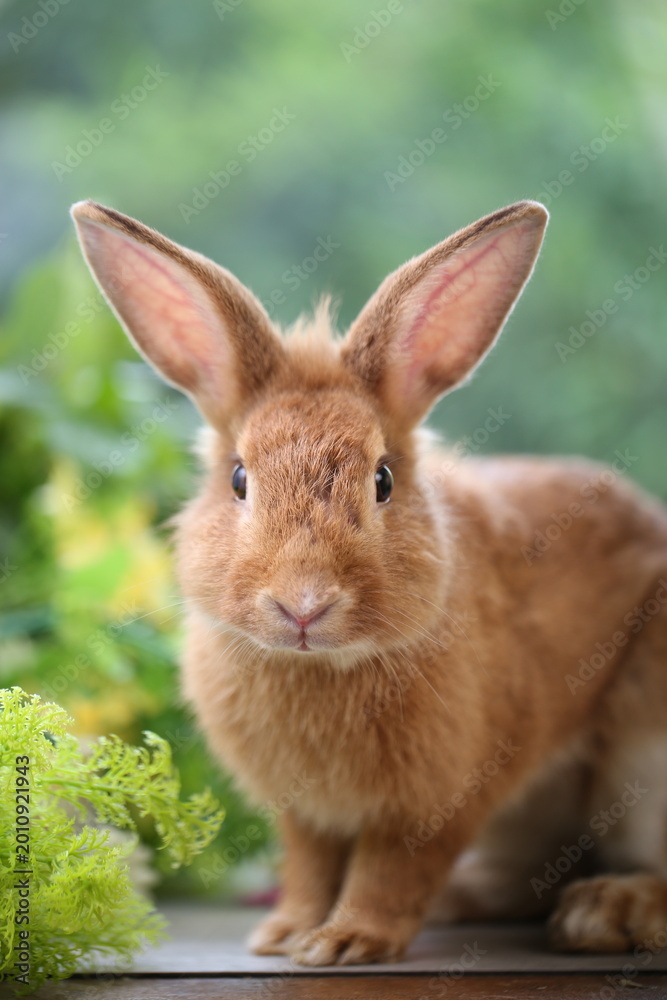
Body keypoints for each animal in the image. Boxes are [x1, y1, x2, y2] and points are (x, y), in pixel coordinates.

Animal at [72, 198, 667, 965]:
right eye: (238, 479)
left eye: (381, 481)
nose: (302, 605)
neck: (322, 668)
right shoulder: (305, 815)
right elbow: (308, 866)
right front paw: (285, 934)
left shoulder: (431, 804)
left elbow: (391, 871)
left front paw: (346, 941)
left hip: (644, 768)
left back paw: (605, 912)